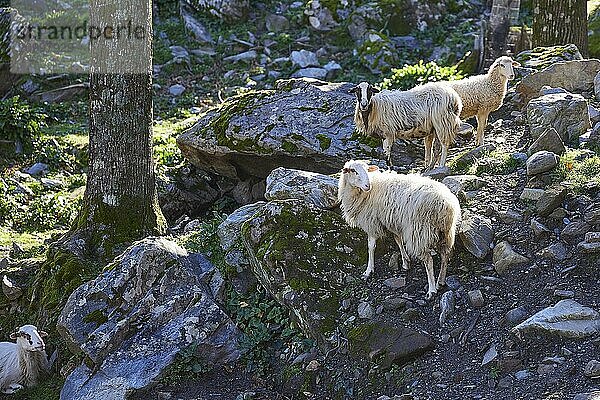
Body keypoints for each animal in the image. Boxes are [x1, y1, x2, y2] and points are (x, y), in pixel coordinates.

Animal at [340, 159, 462, 300]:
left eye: (366, 170)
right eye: (353, 170)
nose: (367, 185)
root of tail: (445, 204)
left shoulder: (371, 222)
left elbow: (371, 246)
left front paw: (368, 270)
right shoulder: (394, 222)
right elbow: (398, 240)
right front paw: (405, 262)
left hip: (418, 232)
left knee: (429, 260)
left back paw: (431, 289)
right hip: (446, 232)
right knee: (445, 255)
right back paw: (440, 281)